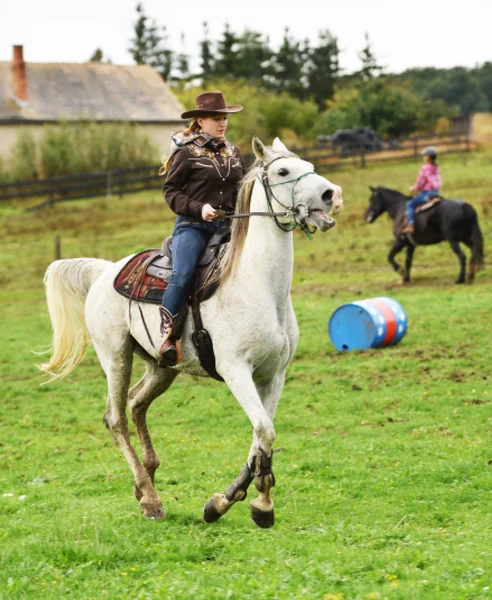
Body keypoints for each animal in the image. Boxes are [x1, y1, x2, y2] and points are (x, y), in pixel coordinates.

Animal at [40, 138, 342, 528]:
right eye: (282, 171)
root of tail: (106, 271)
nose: (331, 194)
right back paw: (150, 498)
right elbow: (264, 430)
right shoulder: (235, 370)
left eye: (310, 165)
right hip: (116, 357)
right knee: (115, 418)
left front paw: (226, 501)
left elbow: (261, 434)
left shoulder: (274, 374)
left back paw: (145, 481)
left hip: (161, 366)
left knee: (137, 403)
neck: (257, 284)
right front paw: (260, 503)